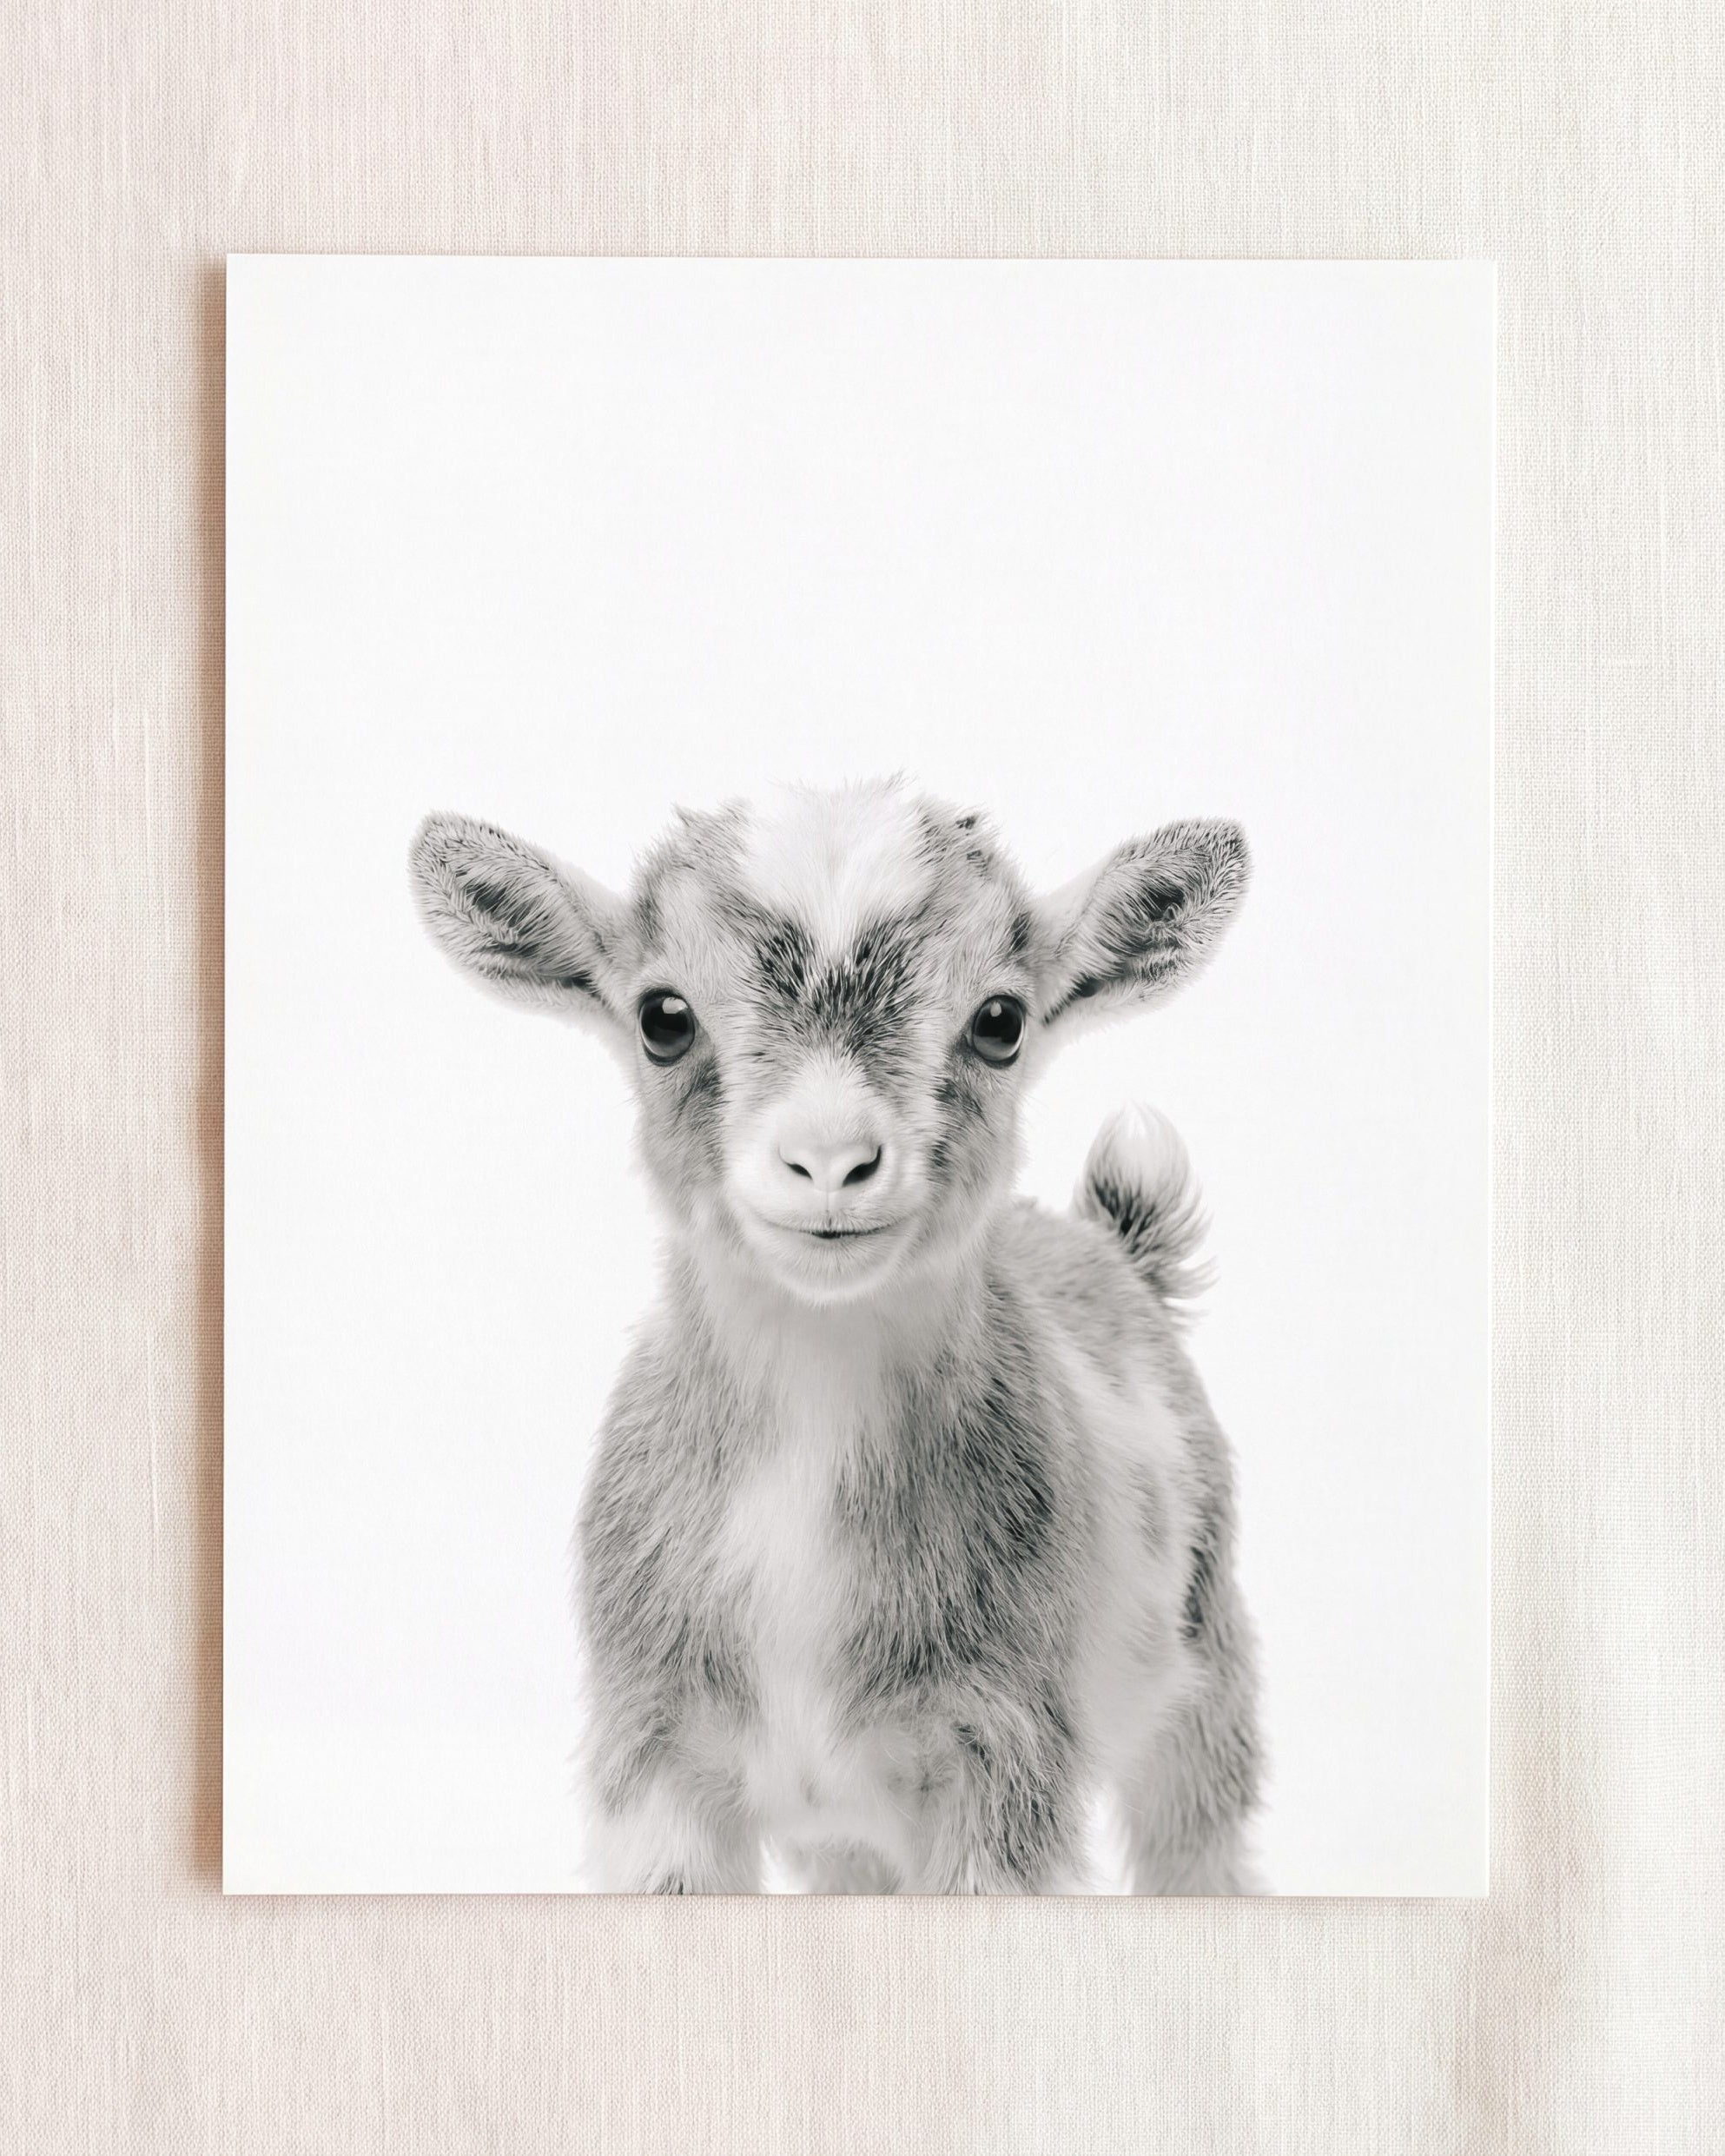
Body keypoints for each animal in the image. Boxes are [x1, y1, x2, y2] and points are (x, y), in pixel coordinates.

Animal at [411, 777, 1261, 1893]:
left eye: (1000, 1020)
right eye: (662, 1017)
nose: (829, 1163)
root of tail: (1114, 1247)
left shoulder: (1005, 1755)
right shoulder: (654, 1757)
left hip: (1206, 1670)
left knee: (1200, 1843)